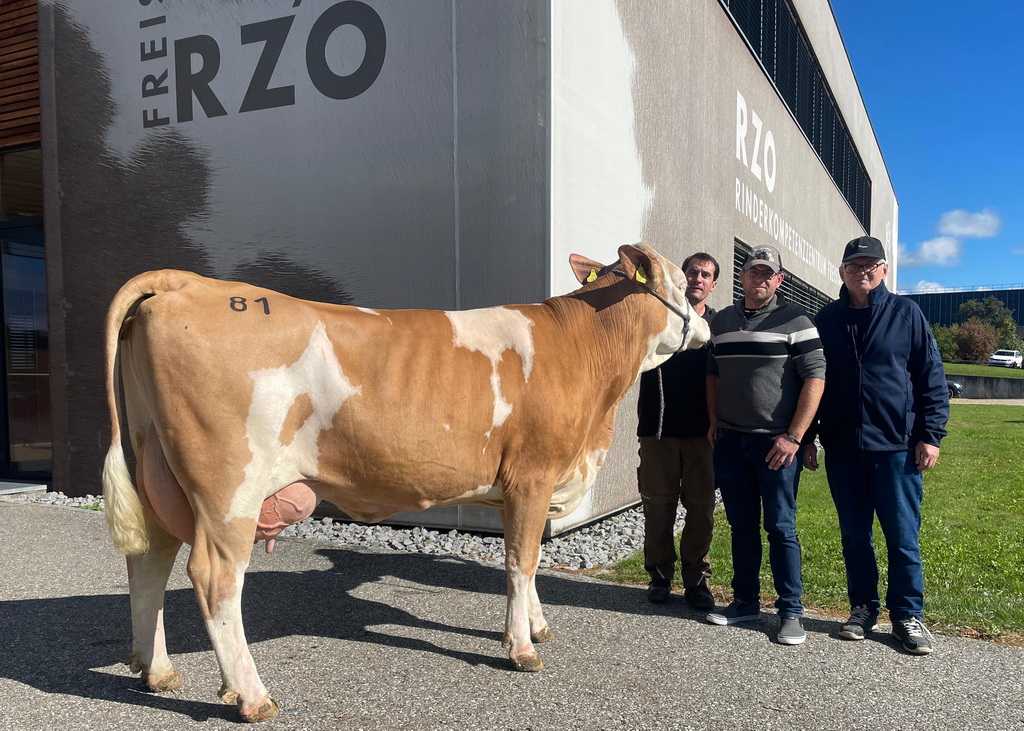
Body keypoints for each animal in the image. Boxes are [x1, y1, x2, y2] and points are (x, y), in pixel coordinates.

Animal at [105, 243, 712, 716]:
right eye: (685, 286)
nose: (706, 325)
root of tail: (189, 284)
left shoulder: (521, 488)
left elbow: (528, 558)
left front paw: (535, 626)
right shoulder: (532, 474)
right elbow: (522, 561)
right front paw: (521, 648)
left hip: (156, 465)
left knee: (150, 558)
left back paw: (157, 671)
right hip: (228, 485)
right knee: (214, 576)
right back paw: (252, 696)